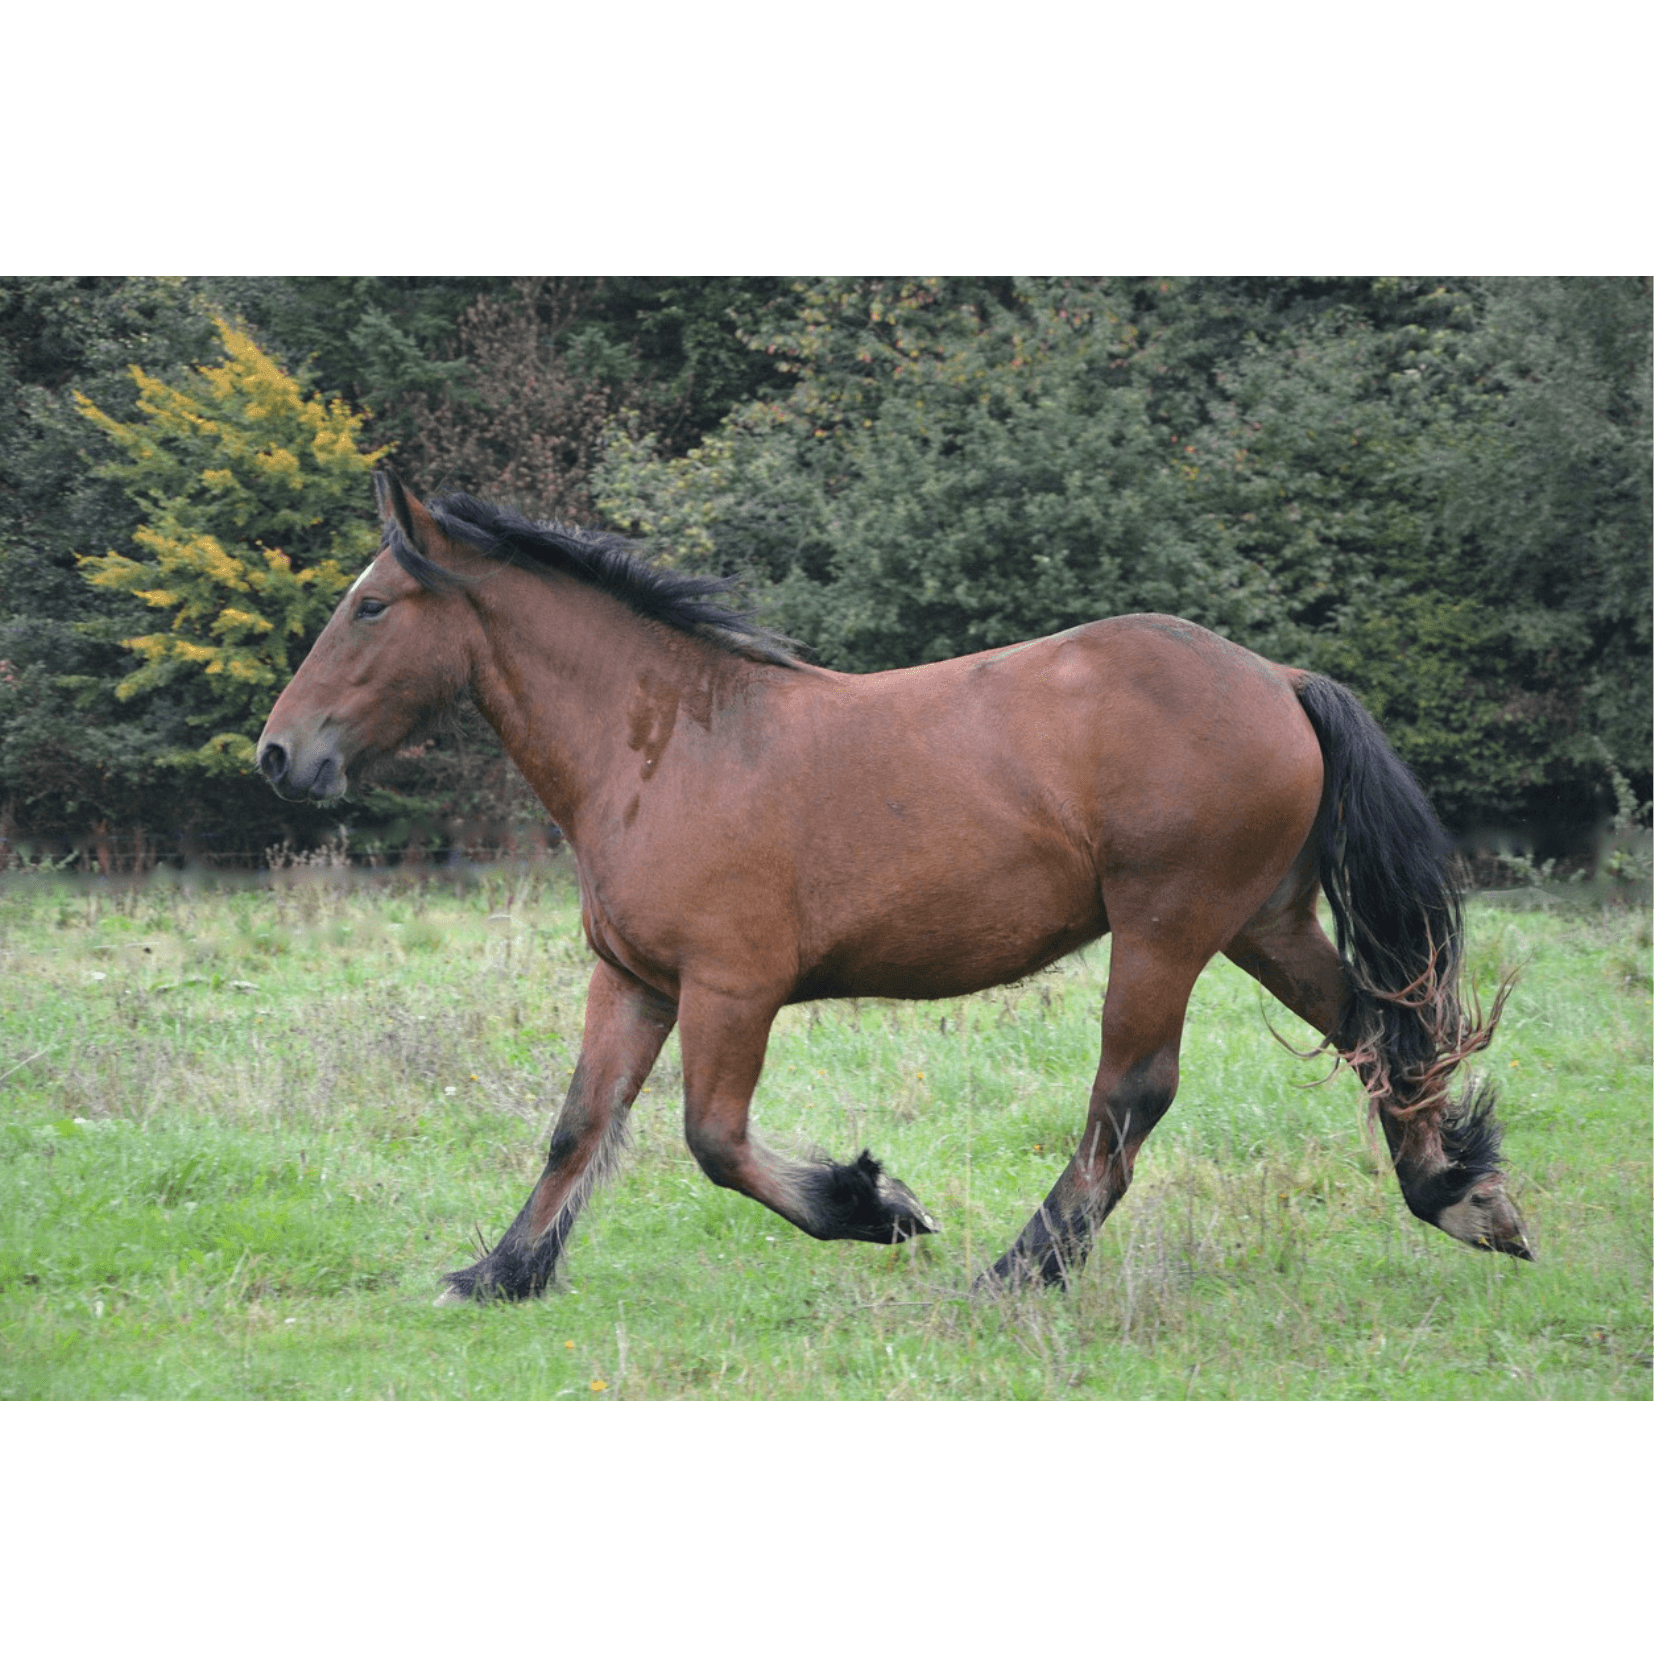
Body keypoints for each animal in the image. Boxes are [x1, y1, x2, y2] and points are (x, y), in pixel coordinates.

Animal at [256, 471, 1531, 1302]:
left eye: (370, 605)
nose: (278, 755)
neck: (669, 744)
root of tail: (1276, 675)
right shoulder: (635, 981)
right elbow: (579, 1127)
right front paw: (502, 1272)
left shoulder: (733, 987)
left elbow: (713, 1139)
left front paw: (875, 1206)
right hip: (1260, 922)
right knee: (1378, 1026)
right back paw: (1458, 1195)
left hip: (1165, 929)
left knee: (1131, 1095)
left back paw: (1020, 1269)